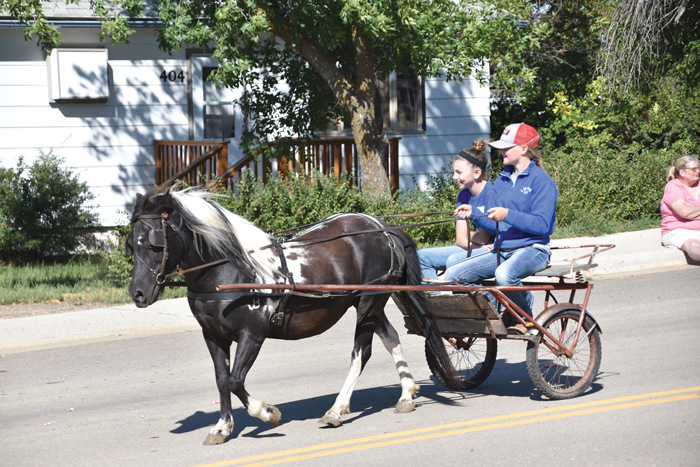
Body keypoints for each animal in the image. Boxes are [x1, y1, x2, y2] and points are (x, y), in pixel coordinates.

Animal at [126, 186, 460, 446]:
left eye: (155, 243)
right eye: (131, 244)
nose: (137, 293)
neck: (230, 271)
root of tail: (383, 226)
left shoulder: (252, 335)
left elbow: (235, 380)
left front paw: (267, 412)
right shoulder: (213, 336)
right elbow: (222, 381)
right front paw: (222, 427)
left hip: (369, 302)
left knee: (360, 353)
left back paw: (337, 409)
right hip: (368, 302)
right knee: (391, 338)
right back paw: (406, 395)